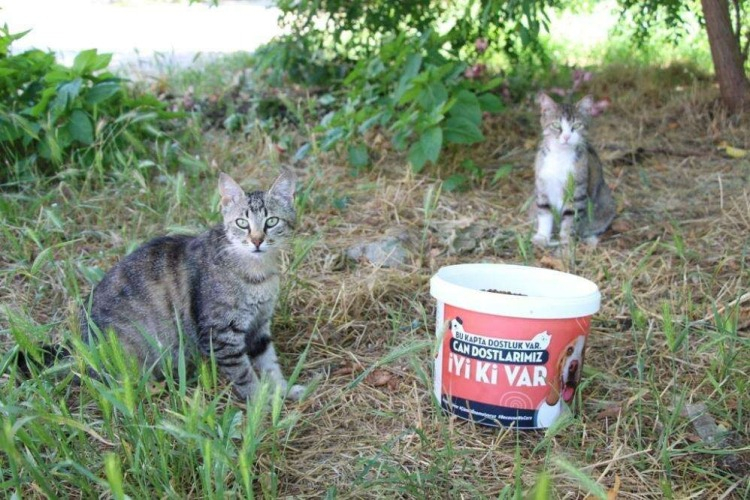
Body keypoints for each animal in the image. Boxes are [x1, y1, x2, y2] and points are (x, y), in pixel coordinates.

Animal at [77, 170, 305, 401]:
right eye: (242, 223)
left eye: (272, 221)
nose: (257, 240)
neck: (257, 273)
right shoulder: (221, 334)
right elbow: (244, 374)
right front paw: (261, 402)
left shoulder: (260, 324)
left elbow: (270, 364)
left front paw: (283, 390)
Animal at [531, 92, 615, 247]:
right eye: (556, 125)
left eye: (577, 125)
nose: (566, 136)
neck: (560, 156)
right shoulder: (542, 186)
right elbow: (544, 212)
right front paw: (542, 237)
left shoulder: (577, 190)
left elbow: (570, 217)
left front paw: (566, 241)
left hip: (606, 204)